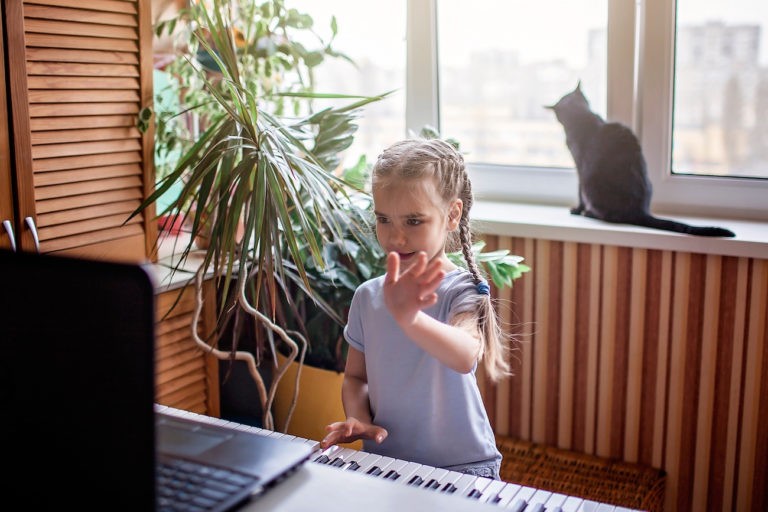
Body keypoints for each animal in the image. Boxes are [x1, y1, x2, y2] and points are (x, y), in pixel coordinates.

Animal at [544, 82, 736, 238]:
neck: (582, 117)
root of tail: (639, 210)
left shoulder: (579, 168)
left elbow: (579, 193)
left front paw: (577, 210)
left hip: (590, 182)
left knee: (611, 215)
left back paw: (589, 213)